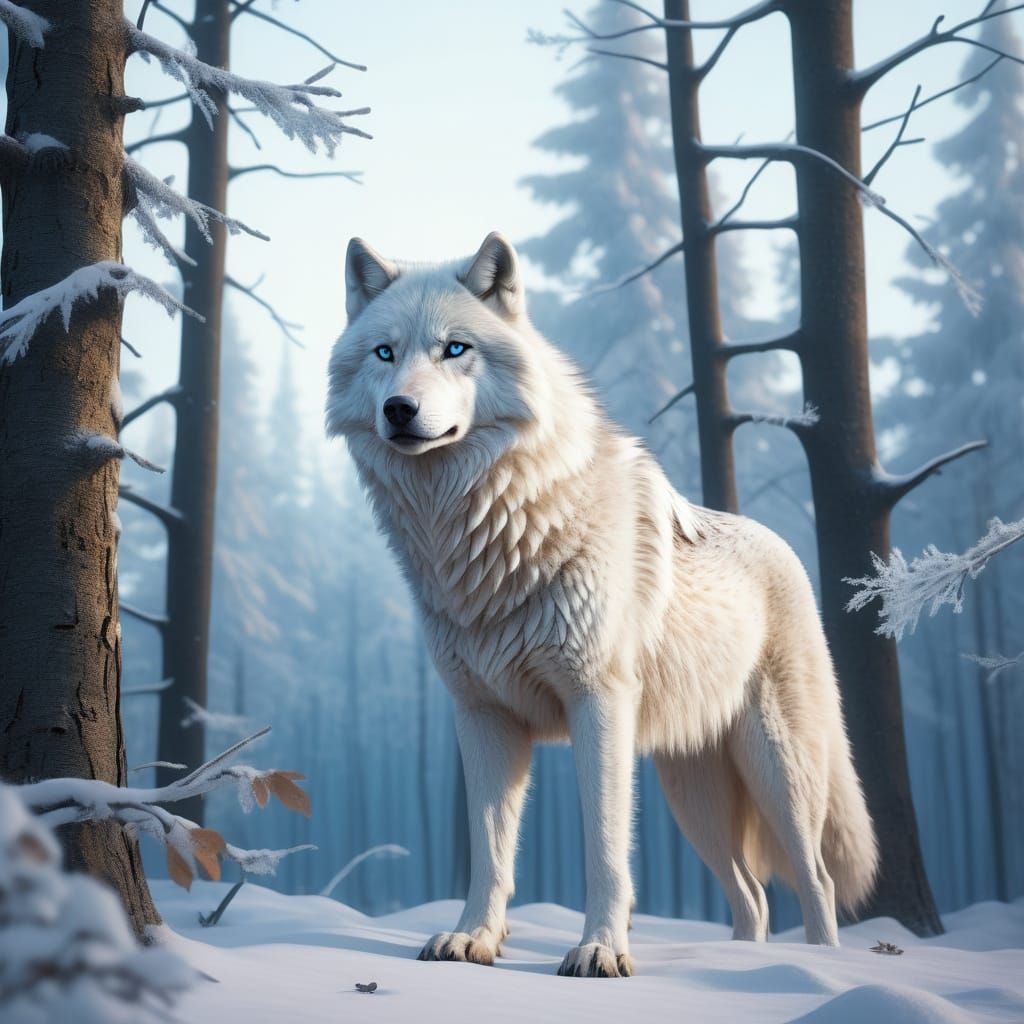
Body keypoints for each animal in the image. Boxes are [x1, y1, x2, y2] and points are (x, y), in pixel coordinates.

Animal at [326, 231, 878, 978]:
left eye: (455, 348)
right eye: (385, 353)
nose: (399, 410)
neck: (492, 534)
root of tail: (785, 546)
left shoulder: (598, 703)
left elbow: (607, 850)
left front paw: (600, 951)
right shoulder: (483, 716)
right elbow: (490, 851)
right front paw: (473, 940)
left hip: (777, 769)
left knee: (814, 878)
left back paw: (819, 967)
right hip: (693, 795)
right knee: (754, 895)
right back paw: (736, 960)